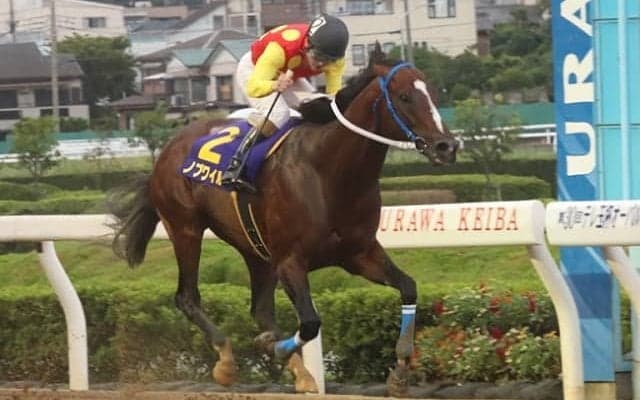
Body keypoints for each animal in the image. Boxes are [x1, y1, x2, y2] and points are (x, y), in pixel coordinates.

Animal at [109, 45, 458, 397]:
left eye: (433, 92)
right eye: (404, 97)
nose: (448, 146)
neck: (329, 172)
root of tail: (168, 149)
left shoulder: (359, 253)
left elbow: (408, 288)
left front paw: (400, 371)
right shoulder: (291, 259)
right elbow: (311, 322)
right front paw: (271, 348)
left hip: (256, 250)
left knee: (260, 310)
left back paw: (299, 372)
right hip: (185, 228)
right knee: (187, 297)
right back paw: (227, 361)